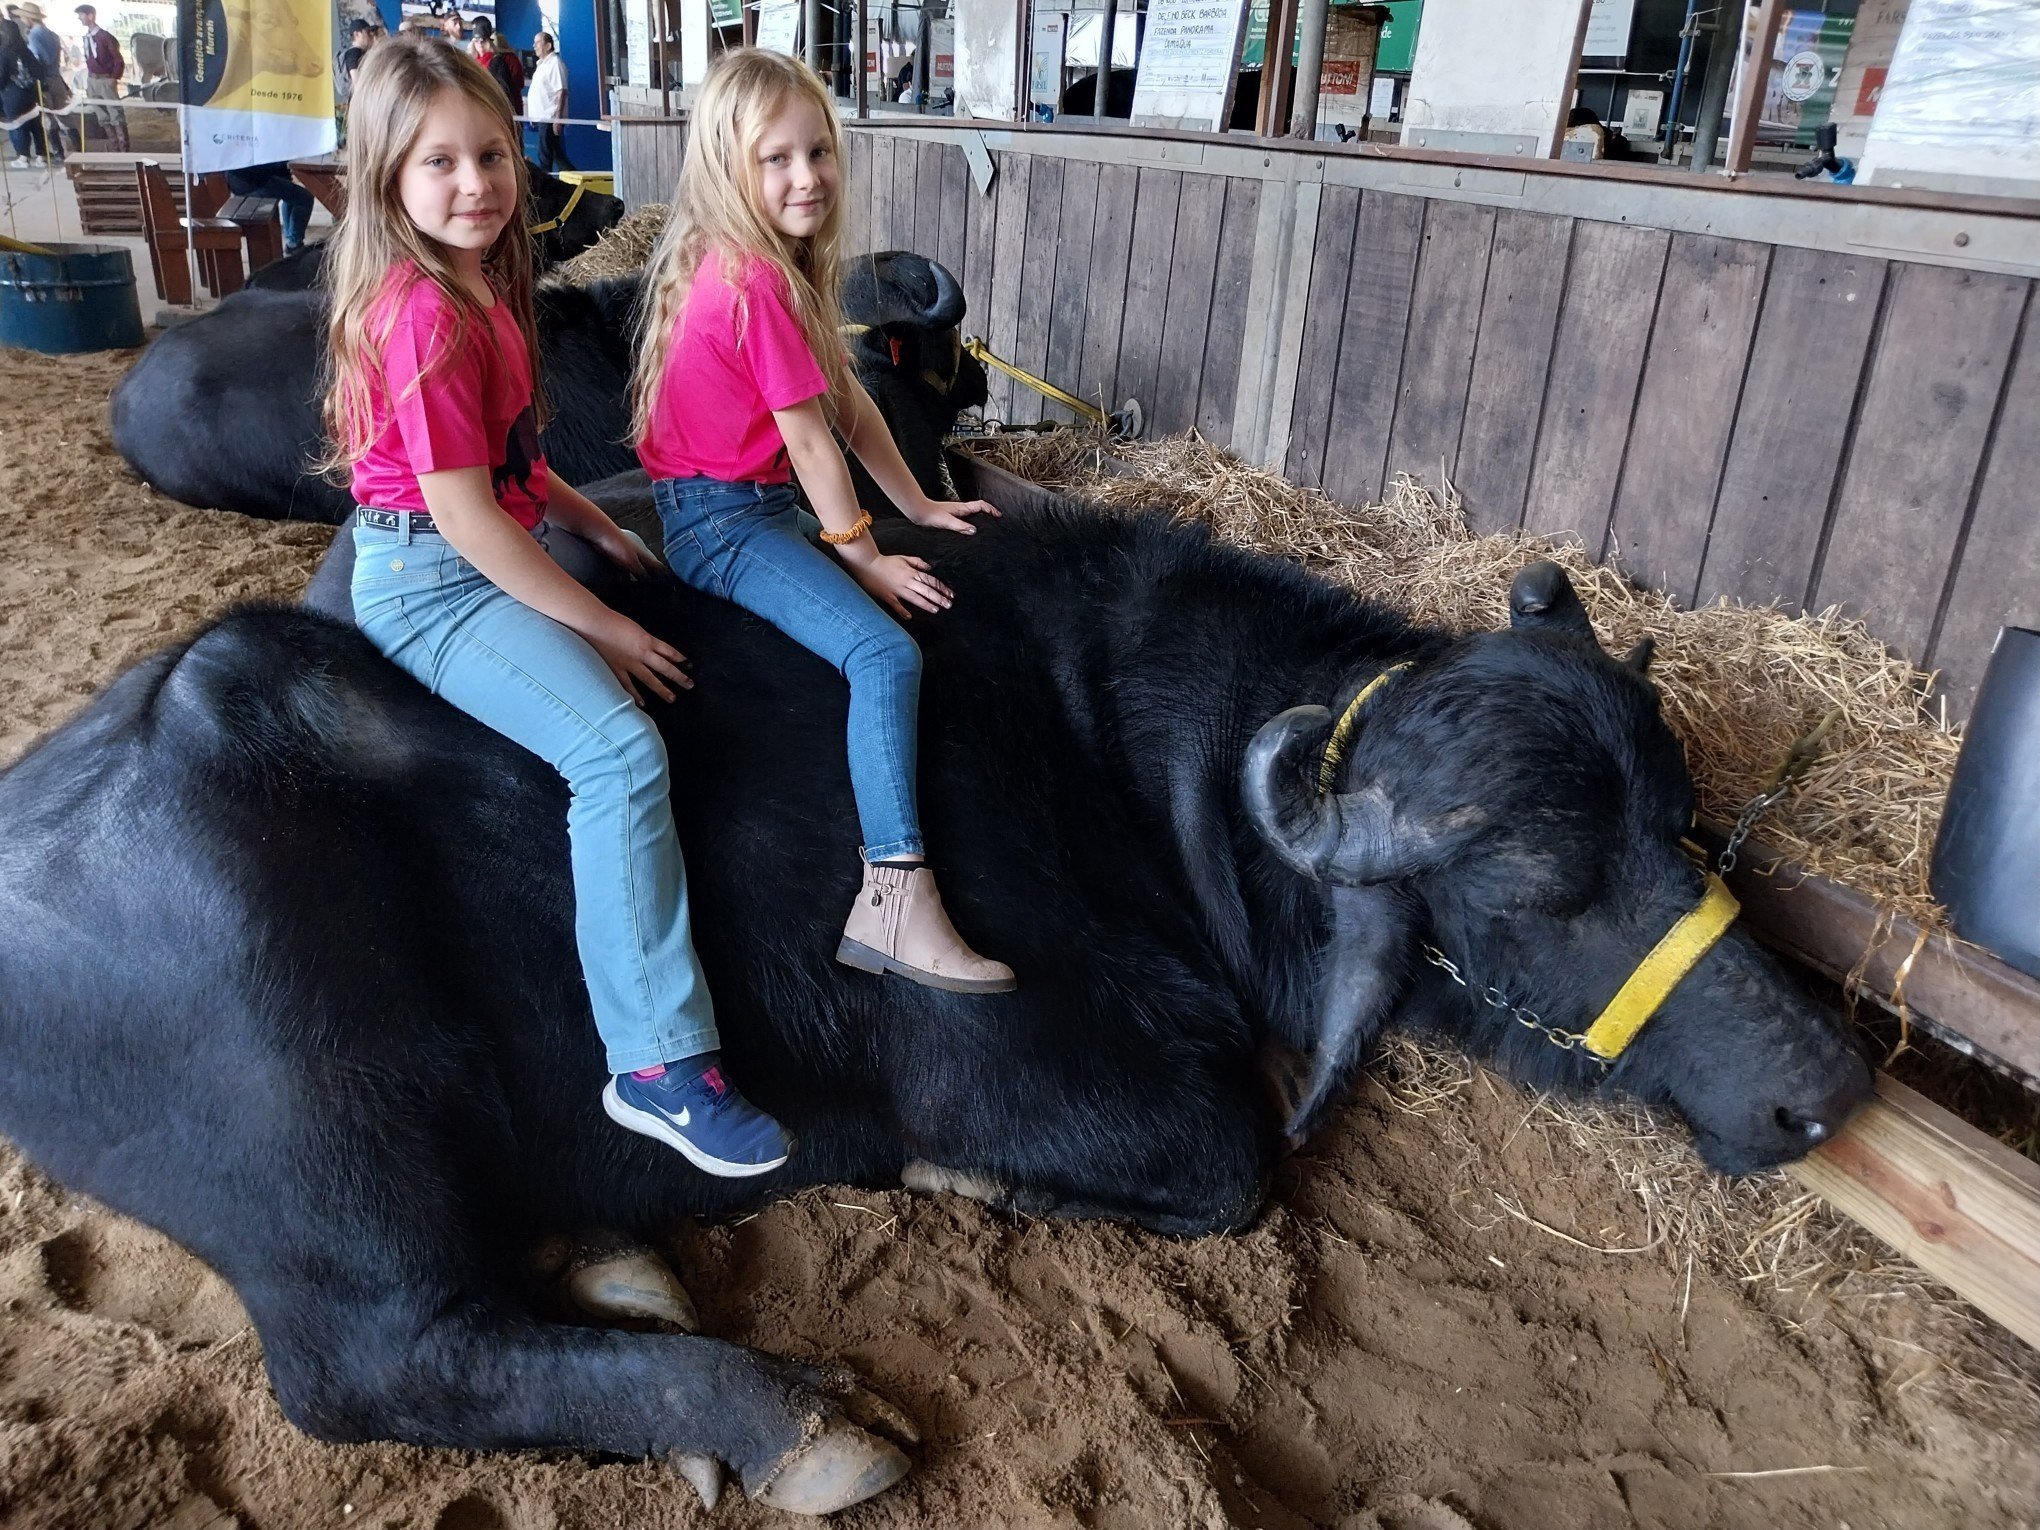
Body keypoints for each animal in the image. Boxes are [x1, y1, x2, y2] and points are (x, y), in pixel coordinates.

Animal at [0, 491, 1868, 1525]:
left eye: (1680, 818)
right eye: (1536, 889)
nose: (1826, 1089)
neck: (1113, 754)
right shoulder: (1018, 1061)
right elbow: (1229, 1156)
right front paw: (967, 1185)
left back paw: (619, 1260)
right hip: (326, 1159)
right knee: (384, 1357)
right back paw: (788, 1419)